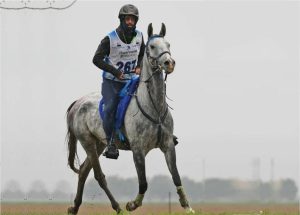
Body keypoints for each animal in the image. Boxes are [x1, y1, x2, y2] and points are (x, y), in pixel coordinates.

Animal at [65, 22, 195, 214]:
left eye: (168, 44)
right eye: (152, 46)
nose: (169, 63)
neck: (154, 107)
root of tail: (77, 102)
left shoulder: (168, 146)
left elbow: (176, 177)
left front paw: (187, 207)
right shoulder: (138, 150)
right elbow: (143, 182)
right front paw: (132, 204)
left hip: (99, 143)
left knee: (83, 171)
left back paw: (74, 208)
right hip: (87, 142)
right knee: (98, 175)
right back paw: (119, 208)